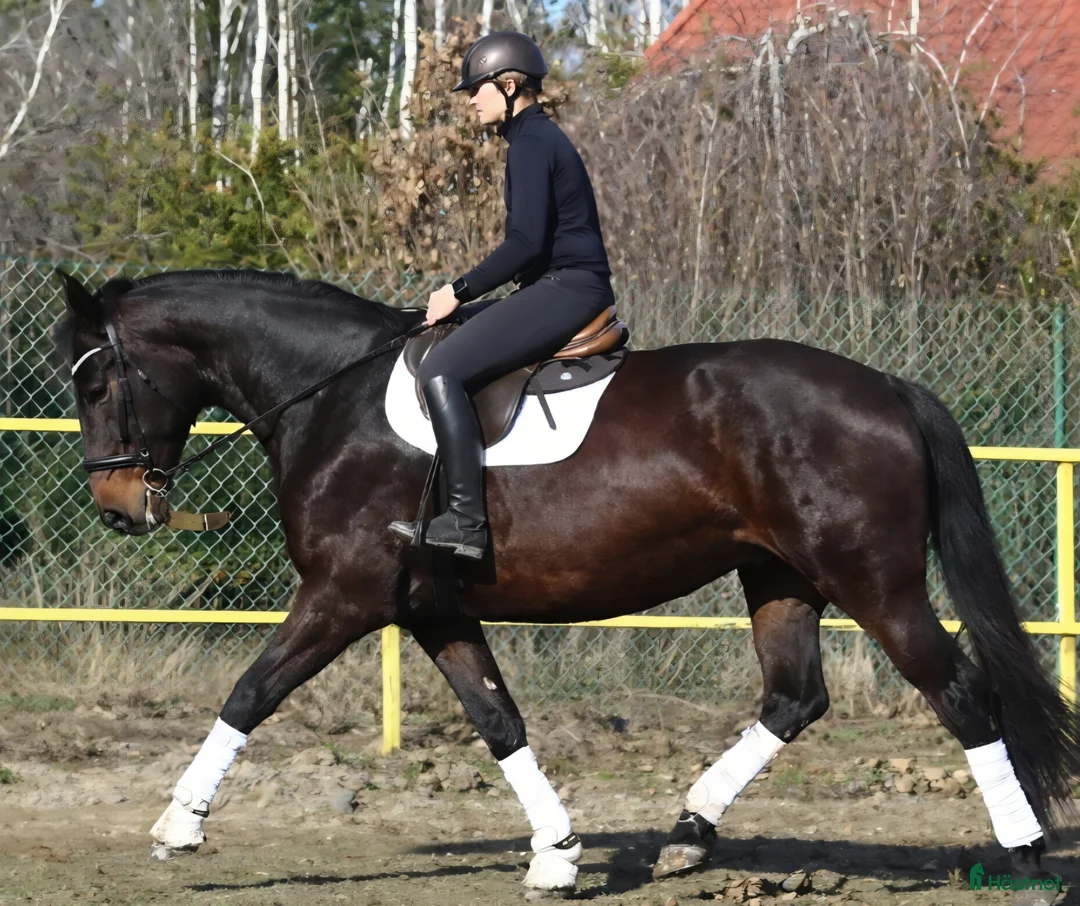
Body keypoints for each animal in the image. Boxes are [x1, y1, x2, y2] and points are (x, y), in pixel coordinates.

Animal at [54, 268, 1077, 905]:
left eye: (99, 382)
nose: (115, 507)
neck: (332, 399)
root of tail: (888, 389)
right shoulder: (434, 610)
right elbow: (499, 721)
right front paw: (556, 856)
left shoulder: (342, 597)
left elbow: (249, 694)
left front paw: (178, 825)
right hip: (780, 577)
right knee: (794, 697)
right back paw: (688, 832)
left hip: (876, 583)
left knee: (959, 693)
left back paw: (1024, 851)